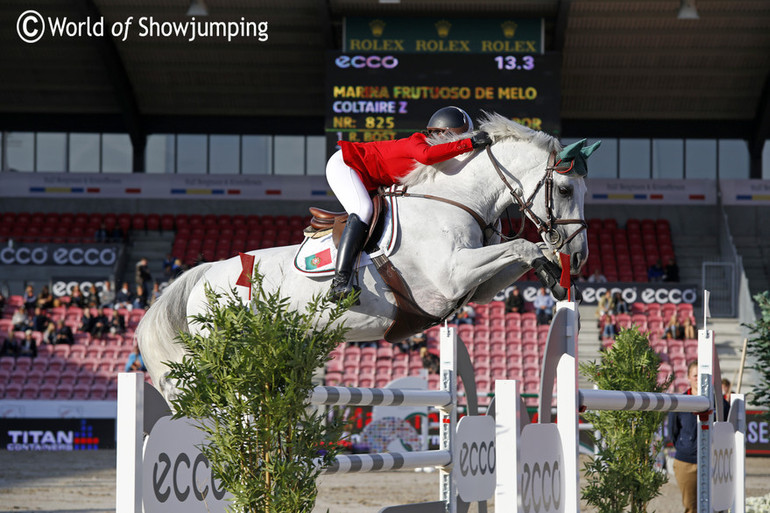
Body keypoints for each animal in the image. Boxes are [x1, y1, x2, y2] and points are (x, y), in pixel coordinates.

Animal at [138, 114, 596, 402]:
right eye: (565, 189)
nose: (579, 254)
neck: (455, 197)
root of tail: (201, 275)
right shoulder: (451, 276)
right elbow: (521, 247)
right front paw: (556, 273)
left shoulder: (477, 287)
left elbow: (521, 255)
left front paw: (557, 274)